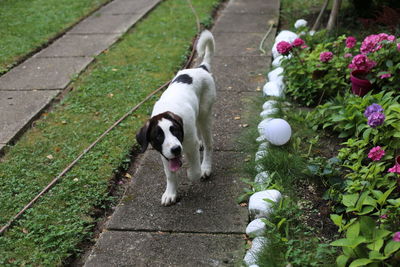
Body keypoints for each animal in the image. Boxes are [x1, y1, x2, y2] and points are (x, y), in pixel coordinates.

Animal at [135, 30, 216, 207]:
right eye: (158, 136)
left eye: (175, 131)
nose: (176, 149)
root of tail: (201, 68)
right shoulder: (164, 152)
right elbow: (170, 174)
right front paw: (170, 193)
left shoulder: (189, 145)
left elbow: (194, 170)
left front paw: (194, 172)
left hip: (205, 115)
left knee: (208, 144)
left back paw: (206, 166)